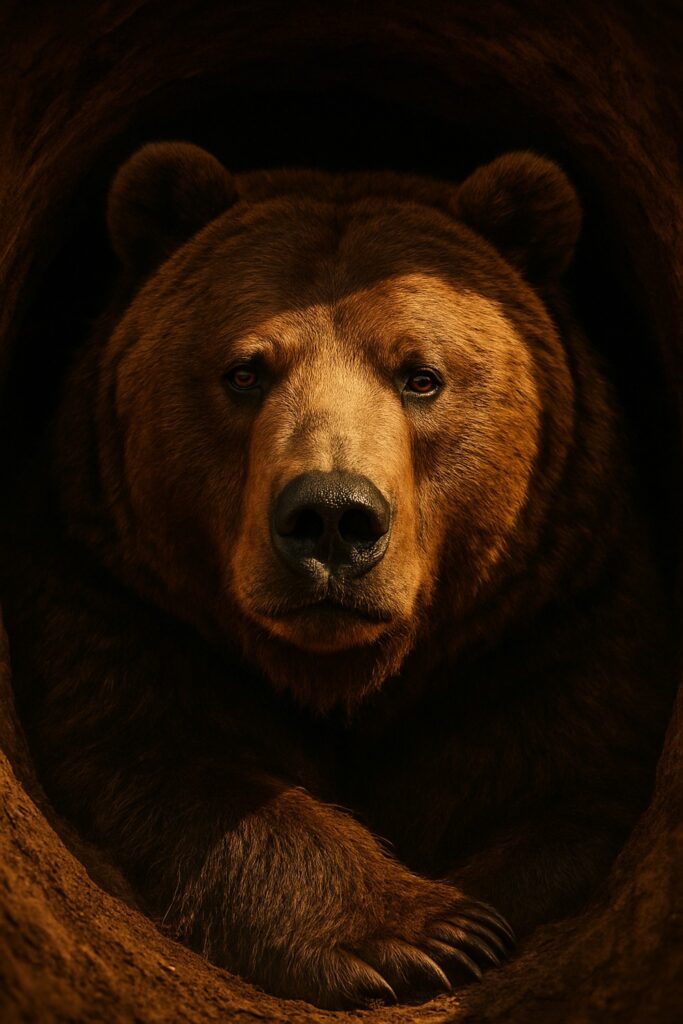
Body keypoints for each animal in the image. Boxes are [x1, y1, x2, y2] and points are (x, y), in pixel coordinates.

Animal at [0, 142, 675, 1009]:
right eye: (244, 371)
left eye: (420, 374)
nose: (330, 516)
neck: (346, 677)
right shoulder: (120, 598)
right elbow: (164, 761)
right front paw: (422, 933)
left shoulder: (553, 621)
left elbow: (572, 792)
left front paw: (477, 918)